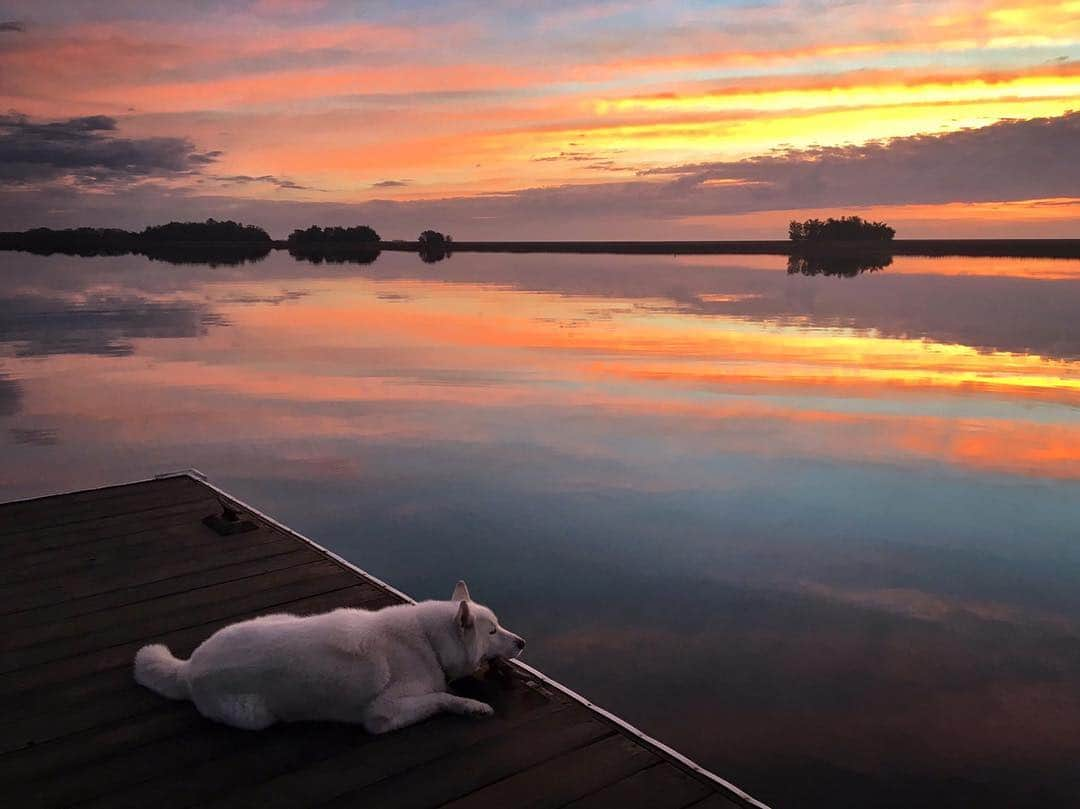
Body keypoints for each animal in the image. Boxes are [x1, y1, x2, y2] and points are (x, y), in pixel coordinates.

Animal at [135, 578, 522, 734]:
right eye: (492, 631)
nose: (521, 642)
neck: (428, 641)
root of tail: (189, 667)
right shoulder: (382, 714)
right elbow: (439, 697)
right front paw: (470, 705)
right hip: (256, 716)